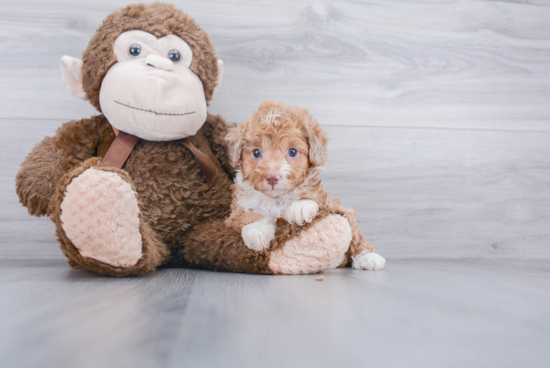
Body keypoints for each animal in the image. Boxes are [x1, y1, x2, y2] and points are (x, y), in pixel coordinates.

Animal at [225, 100, 388, 270]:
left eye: (292, 152)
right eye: (256, 153)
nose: (272, 177)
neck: (276, 199)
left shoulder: (324, 202)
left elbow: (310, 197)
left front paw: (300, 207)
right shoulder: (236, 209)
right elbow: (244, 215)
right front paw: (257, 230)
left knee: (357, 236)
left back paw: (368, 257)